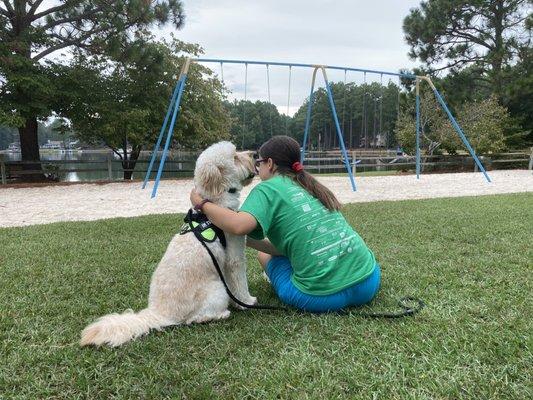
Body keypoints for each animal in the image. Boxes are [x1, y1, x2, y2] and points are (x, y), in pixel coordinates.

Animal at [79, 141, 260, 346]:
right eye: (235, 157)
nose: (255, 154)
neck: (216, 200)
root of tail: (159, 313)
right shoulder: (233, 257)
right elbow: (239, 281)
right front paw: (247, 301)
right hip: (217, 289)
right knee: (194, 318)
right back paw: (221, 314)